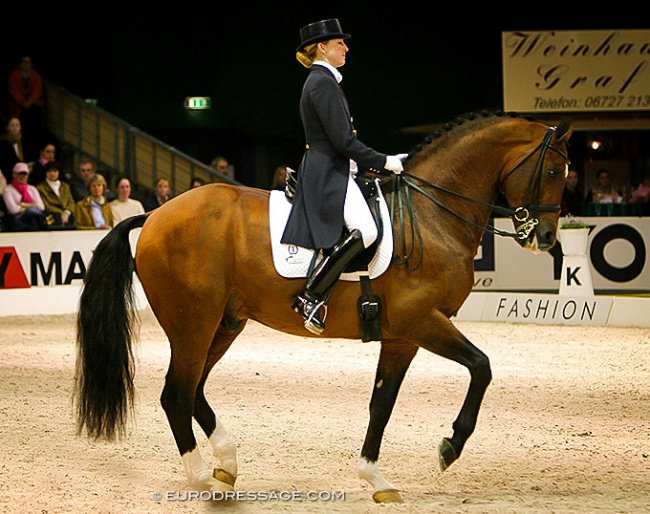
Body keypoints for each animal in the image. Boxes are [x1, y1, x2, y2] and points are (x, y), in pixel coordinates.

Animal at [74, 111, 568, 500]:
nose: (545, 238)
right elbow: (482, 367)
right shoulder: (422, 321)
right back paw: (202, 482)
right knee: (176, 393)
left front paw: (375, 478)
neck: (432, 216)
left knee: (193, 390)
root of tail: (155, 214)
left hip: (224, 323)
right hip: (193, 323)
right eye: (553, 172)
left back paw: (227, 463)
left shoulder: (401, 336)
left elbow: (381, 403)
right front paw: (450, 446)